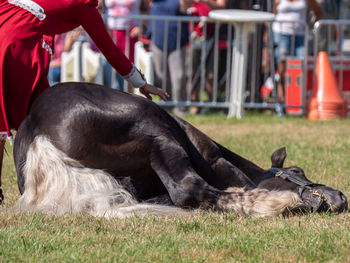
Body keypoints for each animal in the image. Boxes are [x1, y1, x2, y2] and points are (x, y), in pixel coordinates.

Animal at [12, 83, 348, 219]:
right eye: (297, 172)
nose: (341, 197)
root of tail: (39, 135)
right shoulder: (215, 160)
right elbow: (237, 182)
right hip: (156, 135)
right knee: (189, 188)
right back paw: (273, 204)